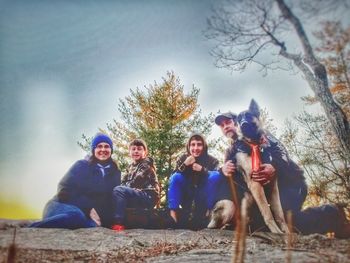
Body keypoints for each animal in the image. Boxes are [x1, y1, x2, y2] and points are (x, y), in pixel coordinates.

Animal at [208, 100, 290, 234]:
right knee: (213, 226)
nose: (243, 124)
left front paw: (287, 232)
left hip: (247, 202)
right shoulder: (255, 183)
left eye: (248, 116)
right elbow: (268, 212)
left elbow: (279, 213)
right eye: (239, 119)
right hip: (230, 206)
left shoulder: (272, 185)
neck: (254, 144)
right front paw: (276, 231)